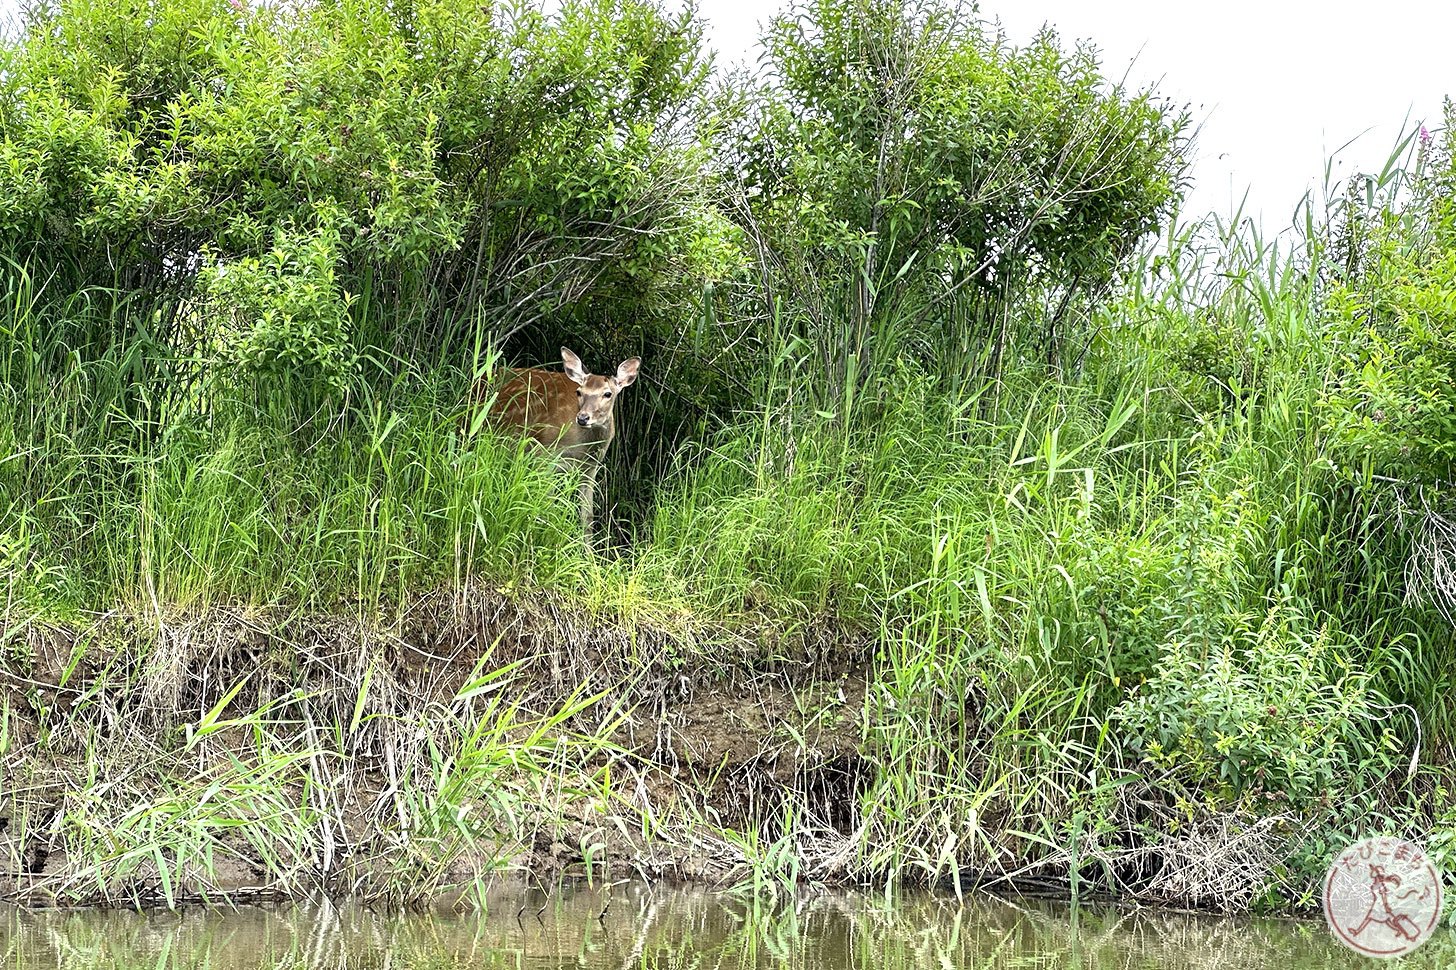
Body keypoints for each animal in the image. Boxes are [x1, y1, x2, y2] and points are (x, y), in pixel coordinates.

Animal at [480, 345, 640, 544]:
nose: (583, 417)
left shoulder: (591, 468)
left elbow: (587, 516)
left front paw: (589, 552)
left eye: (608, 393)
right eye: (579, 392)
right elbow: (547, 508)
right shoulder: (546, 457)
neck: (581, 448)